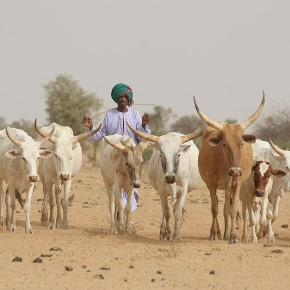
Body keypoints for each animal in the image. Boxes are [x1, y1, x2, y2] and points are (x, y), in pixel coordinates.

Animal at [195, 92, 266, 242]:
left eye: (242, 143)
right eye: (224, 144)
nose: (235, 170)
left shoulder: (237, 183)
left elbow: (232, 210)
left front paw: (232, 236)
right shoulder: (211, 184)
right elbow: (214, 208)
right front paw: (213, 233)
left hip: (230, 187)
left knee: (227, 208)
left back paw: (226, 233)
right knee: (218, 206)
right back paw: (219, 232)